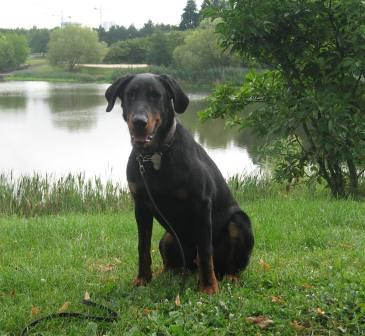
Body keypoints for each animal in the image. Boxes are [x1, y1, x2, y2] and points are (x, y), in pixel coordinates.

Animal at [105, 73, 253, 294]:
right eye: (130, 94)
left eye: (156, 95)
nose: (139, 121)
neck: (155, 156)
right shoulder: (141, 206)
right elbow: (142, 246)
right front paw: (142, 279)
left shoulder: (201, 204)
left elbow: (205, 251)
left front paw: (208, 288)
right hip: (168, 238)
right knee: (176, 265)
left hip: (239, 222)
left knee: (228, 264)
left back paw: (229, 276)